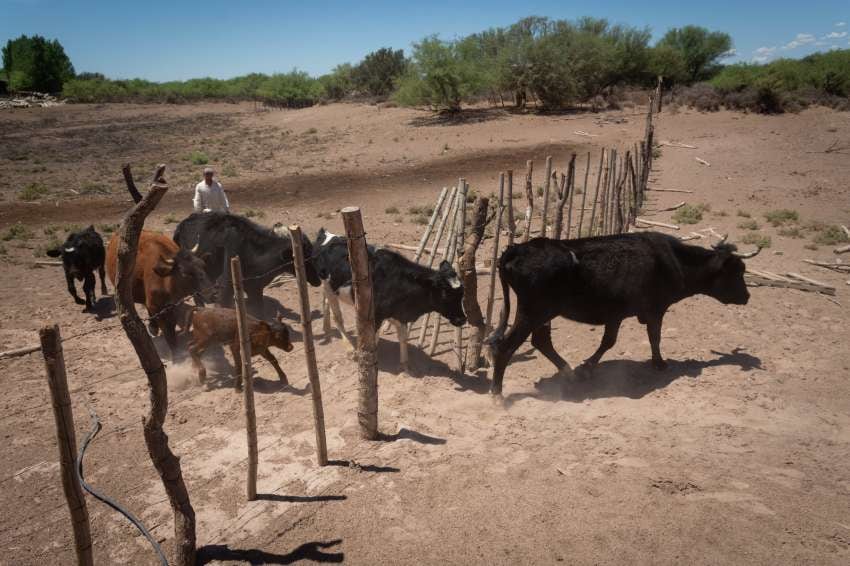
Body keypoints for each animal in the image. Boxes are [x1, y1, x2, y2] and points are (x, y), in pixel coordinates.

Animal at [172, 213, 322, 320]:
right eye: (305, 255)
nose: (318, 279)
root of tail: (182, 224)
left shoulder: (255, 287)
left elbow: (259, 311)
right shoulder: (226, 285)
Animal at [312, 229, 464, 374]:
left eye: (461, 294)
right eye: (445, 294)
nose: (462, 319)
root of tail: (326, 235)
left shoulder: (400, 314)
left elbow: (403, 337)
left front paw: (405, 367)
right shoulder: (376, 316)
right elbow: (373, 341)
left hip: (330, 288)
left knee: (326, 303)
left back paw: (326, 328)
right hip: (327, 285)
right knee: (337, 317)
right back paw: (350, 348)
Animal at [486, 233, 760, 398]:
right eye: (737, 271)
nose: (747, 297)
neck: (672, 261)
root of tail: (517, 249)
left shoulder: (615, 314)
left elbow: (609, 341)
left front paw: (587, 367)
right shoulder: (655, 309)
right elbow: (654, 337)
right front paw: (660, 363)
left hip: (542, 314)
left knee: (541, 342)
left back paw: (570, 374)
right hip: (532, 312)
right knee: (507, 347)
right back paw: (497, 394)